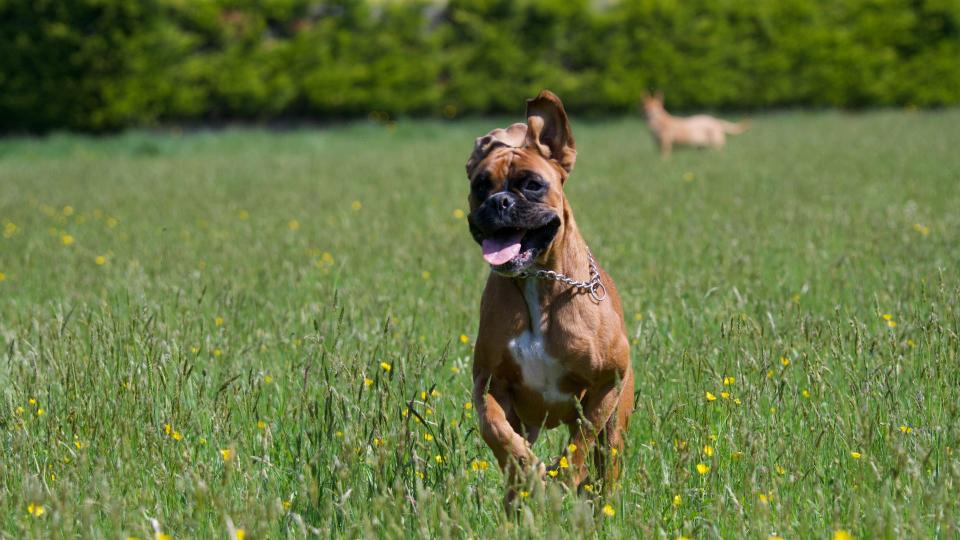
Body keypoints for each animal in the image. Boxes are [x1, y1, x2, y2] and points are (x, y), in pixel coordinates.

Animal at [466, 90, 632, 508]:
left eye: (532, 184)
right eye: (480, 185)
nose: (499, 202)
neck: (537, 283)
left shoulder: (606, 385)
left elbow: (580, 441)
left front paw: (560, 479)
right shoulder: (488, 384)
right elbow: (497, 432)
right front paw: (528, 470)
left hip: (616, 428)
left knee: (605, 464)